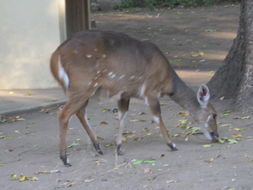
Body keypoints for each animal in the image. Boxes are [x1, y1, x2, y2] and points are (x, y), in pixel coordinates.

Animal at [50, 30, 218, 166]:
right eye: (214, 114)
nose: (216, 136)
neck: (167, 81)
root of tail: (55, 56)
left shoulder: (125, 94)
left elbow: (122, 116)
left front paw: (119, 148)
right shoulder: (150, 91)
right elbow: (157, 116)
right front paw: (172, 145)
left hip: (83, 90)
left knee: (79, 112)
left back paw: (98, 148)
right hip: (82, 86)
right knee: (63, 114)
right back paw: (65, 158)